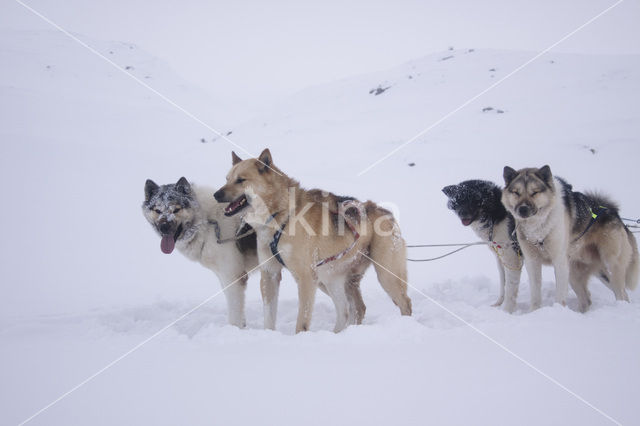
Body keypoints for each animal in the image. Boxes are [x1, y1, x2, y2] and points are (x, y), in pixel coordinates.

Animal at [142, 176, 260, 326]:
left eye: (176, 209)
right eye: (157, 210)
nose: (164, 227)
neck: (206, 222)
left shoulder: (233, 277)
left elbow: (234, 313)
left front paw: (234, 329)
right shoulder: (224, 276)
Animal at [212, 150, 412, 332]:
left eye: (240, 180)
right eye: (227, 178)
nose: (216, 194)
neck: (283, 216)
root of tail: (384, 212)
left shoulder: (305, 277)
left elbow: (302, 320)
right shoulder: (270, 273)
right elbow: (269, 316)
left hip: (385, 276)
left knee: (404, 303)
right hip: (330, 279)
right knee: (351, 309)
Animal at [442, 180, 524, 312]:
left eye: (472, 200)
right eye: (458, 201)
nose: (462, 213)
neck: (495, 214)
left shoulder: (512, 259)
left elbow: (510, 288)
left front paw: (506, 311)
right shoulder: (500, 259)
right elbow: (503, 284)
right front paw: (498, 304)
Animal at [502, 165, 636, 312]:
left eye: (535, 192)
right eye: (516, 192)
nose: (523, 209)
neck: (537, 228)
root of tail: (614, 213)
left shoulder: (559, 261)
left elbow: (560, 295)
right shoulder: (532, 261)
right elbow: (536, 292)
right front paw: (534, 311)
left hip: (611, 265)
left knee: (622, 294)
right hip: (578, 274)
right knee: (587, 300)